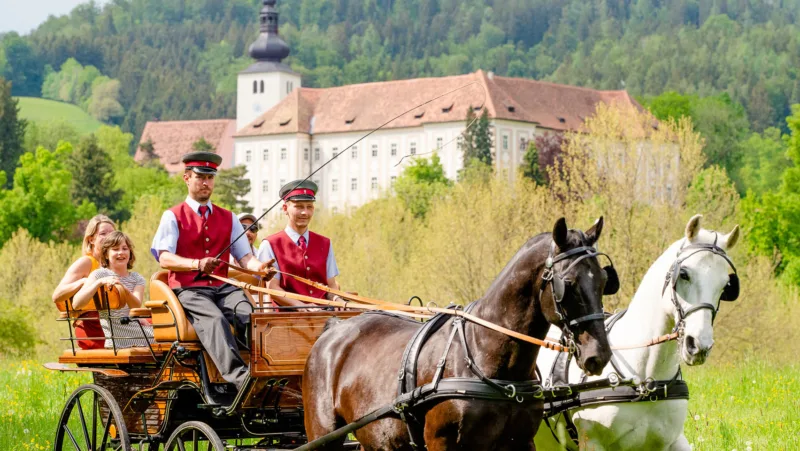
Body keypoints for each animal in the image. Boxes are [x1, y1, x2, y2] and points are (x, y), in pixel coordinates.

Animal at [304, 217, 612, 450]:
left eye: (605, 280)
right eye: (567, 284)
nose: (598, 354)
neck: (486, 354)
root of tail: (334, 328)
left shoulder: (521, 442)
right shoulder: (442, 442)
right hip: (323, 435)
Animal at [536, 216, 740, 451]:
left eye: (726, 285)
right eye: (684, 274)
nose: (698, 345)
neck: (645, 379)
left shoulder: (667, 442)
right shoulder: (592, 442)